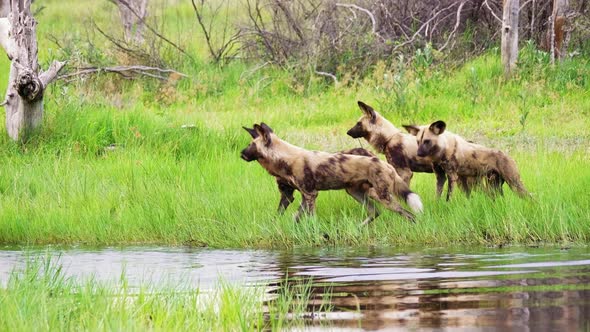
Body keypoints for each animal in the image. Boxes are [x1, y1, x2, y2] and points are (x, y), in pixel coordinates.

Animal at [240, 123, 426, 224]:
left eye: (251, 144)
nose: (241, 153)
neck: (285, 157)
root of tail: (385, 164)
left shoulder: (310, 194)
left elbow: (308, 218)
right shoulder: (299, 195)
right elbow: (294, 217)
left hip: (383, 196)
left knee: (408, 214)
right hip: (355, 192)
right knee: (375, 212)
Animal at [404, 121, 536, 200]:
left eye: (427, 141)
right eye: (418, 141)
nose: (419, 154)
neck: (441, 152)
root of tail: (509, 156)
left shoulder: (452, 176)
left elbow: (448, 197)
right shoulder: (441, 177)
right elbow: (437, 195)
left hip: (515, 184)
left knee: (530, 197)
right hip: (493, 186)